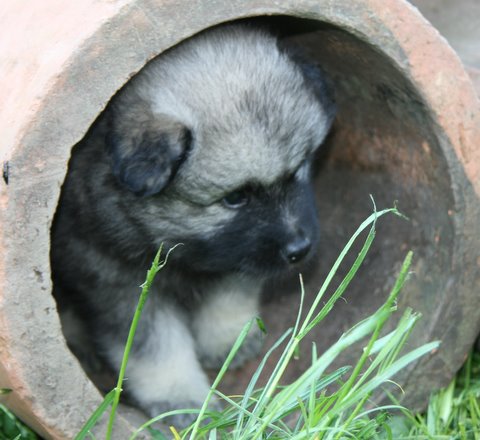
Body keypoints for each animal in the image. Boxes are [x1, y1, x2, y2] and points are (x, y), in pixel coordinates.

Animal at [48, 23, 334, 422]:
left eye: (300, 168)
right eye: (235, 197)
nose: (300, 249)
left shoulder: (233, 254)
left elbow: (229, 293)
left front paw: (229, 340)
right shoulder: (119, 284)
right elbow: (155, 346)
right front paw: (180, 398)